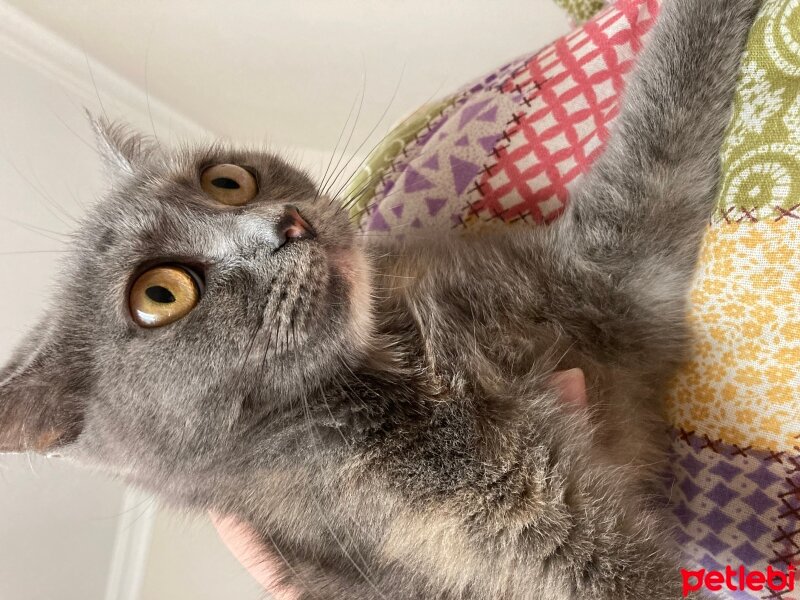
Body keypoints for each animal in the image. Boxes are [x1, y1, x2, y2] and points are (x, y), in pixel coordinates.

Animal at [0, 0, 764, 596]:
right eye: (160, 294)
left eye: (228, 180)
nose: (287, 223)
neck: (412, 350)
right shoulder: (510, 541)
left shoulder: (607, 265)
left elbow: (666, 103)